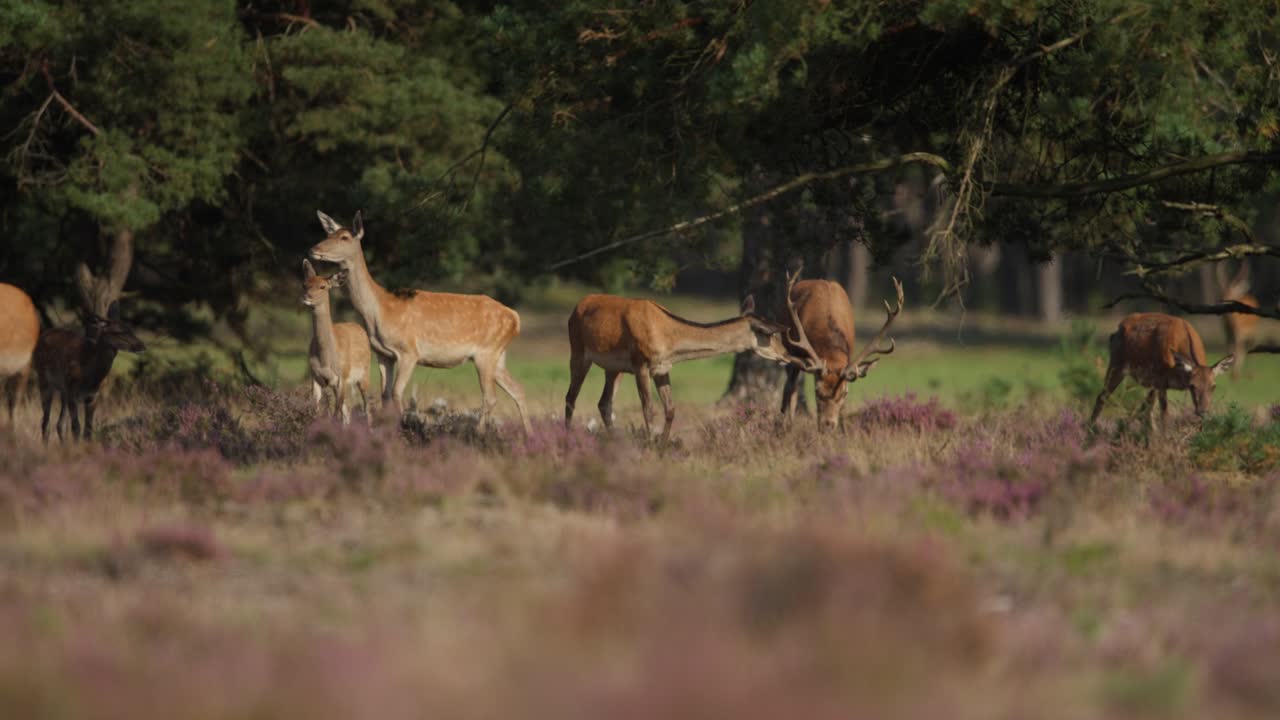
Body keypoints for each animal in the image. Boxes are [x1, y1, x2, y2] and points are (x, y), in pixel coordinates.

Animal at [33, 301, 145, 443]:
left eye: (130, 329)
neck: (90, 375)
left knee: (60, 424)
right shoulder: (72, 392)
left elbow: (88, 430)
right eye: (117, 332)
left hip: (63, 390)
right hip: (44, 379)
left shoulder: (93, 396)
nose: (142, 345)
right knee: (45, 422)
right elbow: (76, 428)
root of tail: (43, 335)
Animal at [302, 260, 372, 425]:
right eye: (305, 284)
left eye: (322, 286)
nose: (306, 296)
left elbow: (336, 412)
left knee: (366, 407)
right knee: (348, 410)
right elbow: (318, 410)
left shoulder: (342, 376)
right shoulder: (316, 376)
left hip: (365, 373)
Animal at [564, 294, 794, 441]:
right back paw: (567, 438)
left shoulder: (663, 368)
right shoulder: (641, 364)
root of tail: (575, 308)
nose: (787, 355)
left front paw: (662, 447)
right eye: (769, 333)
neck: (669, 340)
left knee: (604, 403)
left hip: (613, 368)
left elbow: (670, 409)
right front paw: (650, 446)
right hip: (578, 351)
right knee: (570, 398)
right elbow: (649, 409)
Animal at [779, 266, 904, 431]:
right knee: (790, 388)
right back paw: (785, 424)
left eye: (844, 394)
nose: (828, 425)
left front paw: (843, 431)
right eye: (817, 391)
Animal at [1089, 312, 1234, 431]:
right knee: (1102, 397)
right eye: (1192, 386)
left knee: (1145, 409)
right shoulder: (1161, 379)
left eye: (1213, 386)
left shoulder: (1157, 382)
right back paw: (1091, 430)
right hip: (1116, 364)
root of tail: (1115, 331)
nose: (1203, 411)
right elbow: (1165, 416)